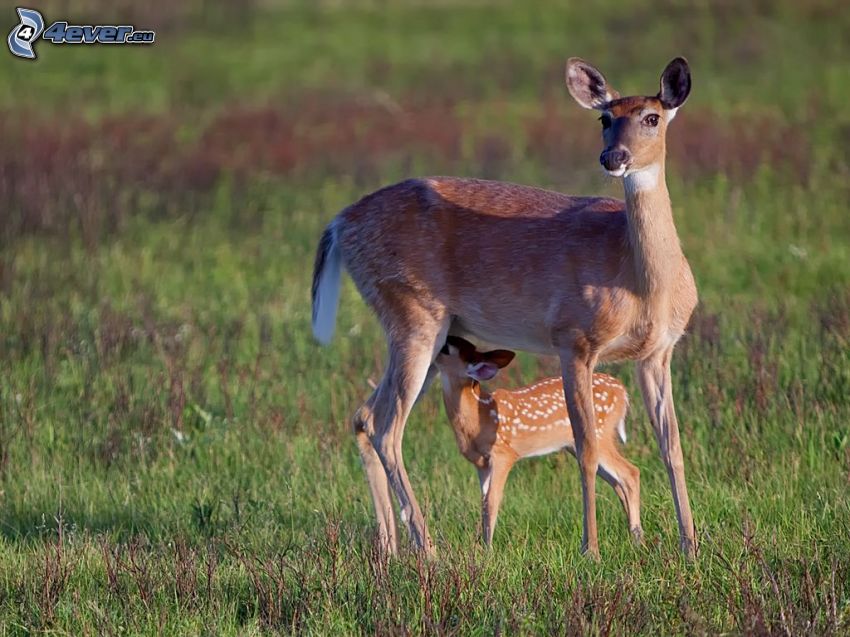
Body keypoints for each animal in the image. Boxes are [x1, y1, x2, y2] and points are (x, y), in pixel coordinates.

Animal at [312, 58, 696, 556]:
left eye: (652, 117)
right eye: (604, 119)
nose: (614, 158)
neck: (639, 279)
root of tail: (339, 223)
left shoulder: (657, 352)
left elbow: (673, 446)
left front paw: (689, 544)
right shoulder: (573, 338)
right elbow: (586, 445)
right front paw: (590, 549)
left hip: (423, 330)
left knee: (363, 416)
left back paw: (390, 546)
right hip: (412, 312)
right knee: (386, 426)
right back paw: (426, 546)